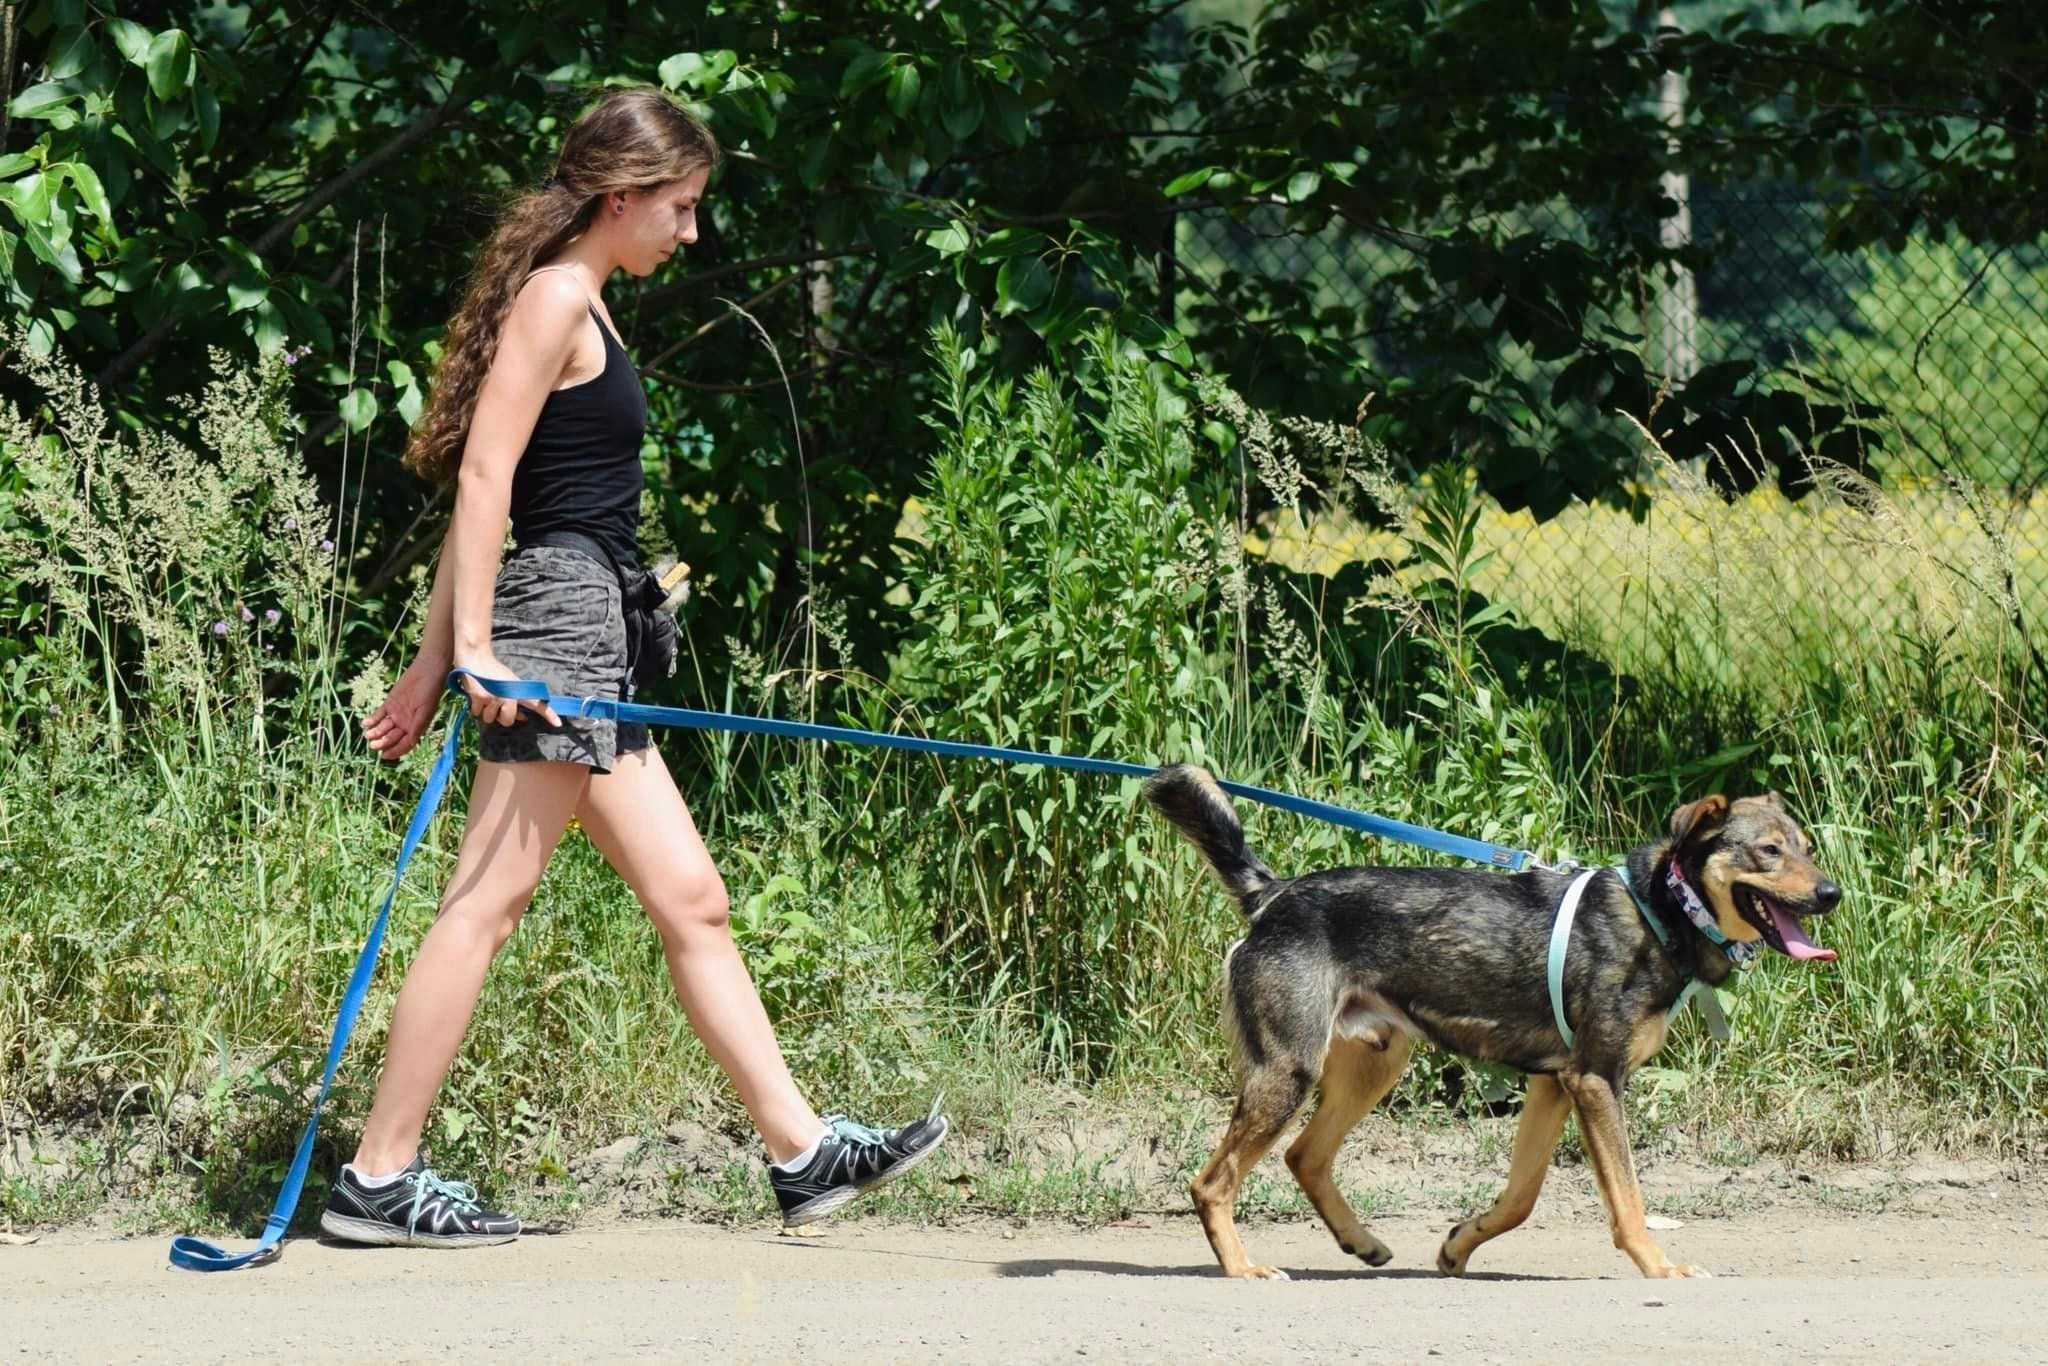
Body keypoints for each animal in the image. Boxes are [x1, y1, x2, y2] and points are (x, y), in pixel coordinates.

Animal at [1146, 770, 1851, 1286]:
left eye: (1807, 848)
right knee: (1212, 1183)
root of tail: (1274, 895)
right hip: (1290, 1071)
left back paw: (1361, 1242)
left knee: (1304, 1156)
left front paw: (1460, 1246)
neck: (1661, 910)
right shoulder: (1596, 1082)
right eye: (1768, 851)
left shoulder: (1554, 1085)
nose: (1832, 894)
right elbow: (1628, 1200)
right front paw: (1659, 1267)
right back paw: (1242, 1268)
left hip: (1373, 1064)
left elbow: (1521, 1198)